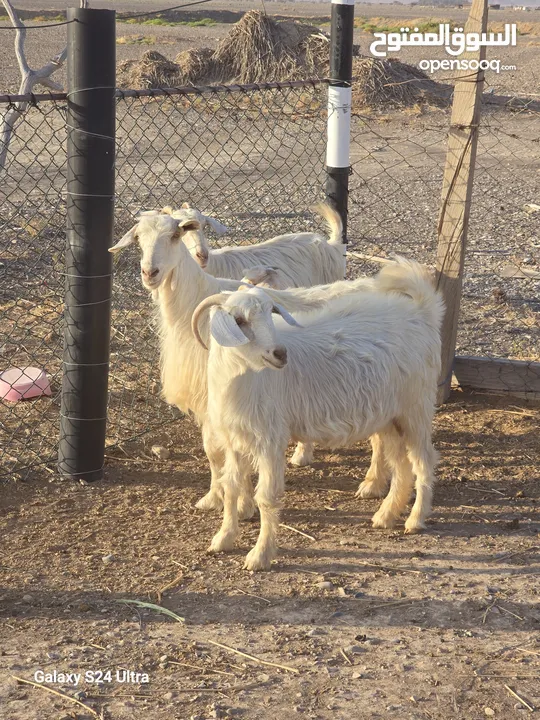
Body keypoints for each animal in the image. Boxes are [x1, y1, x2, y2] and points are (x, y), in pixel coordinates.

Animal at [192, 256, 446, 572]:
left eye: (271, 314)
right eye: (239, 321)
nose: (280, 354)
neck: (242, 377)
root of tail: (422, 311)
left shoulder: (270, 438)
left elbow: (267, 497)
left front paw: (260, 555)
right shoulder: (235, 439)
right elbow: (231, 487)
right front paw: (223, 539)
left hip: (416, 408)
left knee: (423, 460)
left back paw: (415, 519)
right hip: (389, 415)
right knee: (401, 464)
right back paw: (386, 515)